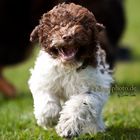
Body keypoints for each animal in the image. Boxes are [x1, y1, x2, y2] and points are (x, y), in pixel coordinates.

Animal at [28, 2, 112, 138]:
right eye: (55, 26)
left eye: (81, 24)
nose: (67, 36)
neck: (68, 66)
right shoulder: (43, 79)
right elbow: (46, 100)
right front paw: (50, 119)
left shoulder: (95, 87)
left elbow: (80, 103)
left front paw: (67, 127)